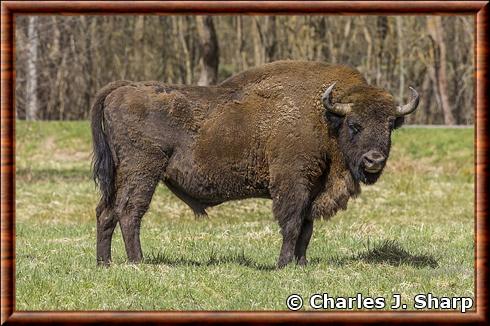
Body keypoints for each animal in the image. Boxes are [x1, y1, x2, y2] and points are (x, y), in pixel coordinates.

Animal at [93, 60, 422, 268]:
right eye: (354, 125)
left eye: (390, 125)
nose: (374, 160)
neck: (325, 117)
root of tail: (122, 89)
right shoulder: (293, 185)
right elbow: (292, 225)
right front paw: (282, 265)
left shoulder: (313, 189)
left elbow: (306, 229)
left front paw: (302, 264)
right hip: (142, 172)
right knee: (129, 212)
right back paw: (137, 261)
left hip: (119, 174)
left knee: (106, 212)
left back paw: (104, 263)